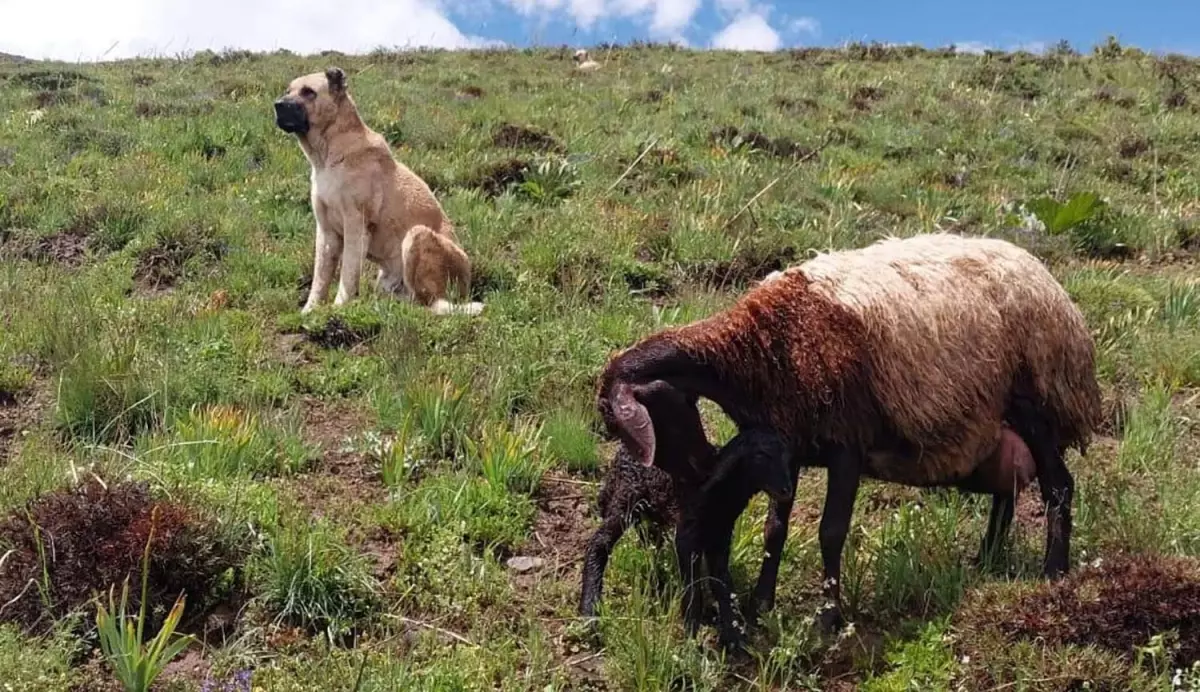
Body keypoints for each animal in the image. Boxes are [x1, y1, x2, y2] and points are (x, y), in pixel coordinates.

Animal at [274, 67, 480, 316]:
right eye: (288, 90)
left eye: (308, 92)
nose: (277, 105)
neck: (328, 154)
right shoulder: (326, 233)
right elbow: (320, 278)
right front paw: (309, 311)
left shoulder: (356, 225)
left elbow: (348, 274)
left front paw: (339, 308)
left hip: (417, 235)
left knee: (429, 302)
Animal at [580, 381, 796, 642]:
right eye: (761, 455)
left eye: (787, 458)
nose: (787, 490)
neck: (722, 491)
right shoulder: (687, 532)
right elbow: (693, 588)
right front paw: (692, 636)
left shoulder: (721, 533)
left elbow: (722, 581)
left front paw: (734, 635)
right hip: (625, 499)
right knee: (600, 542)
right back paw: (589, 612)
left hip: (651, 512)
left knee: (649, 542)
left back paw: (657, 581)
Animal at [595, 235, 1099, 633]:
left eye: (621, 421)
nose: (700, 469)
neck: (751, 351)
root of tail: (1047, 280)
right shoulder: (787, 450)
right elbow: (775, 529)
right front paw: (761, 604)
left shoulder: (846, 446)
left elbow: (830, 532)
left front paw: (827, 619)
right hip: (994, 426)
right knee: (1006, 490)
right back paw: (987, 561)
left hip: (1035, 403)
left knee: (1059, 485)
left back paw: (1054, 571)